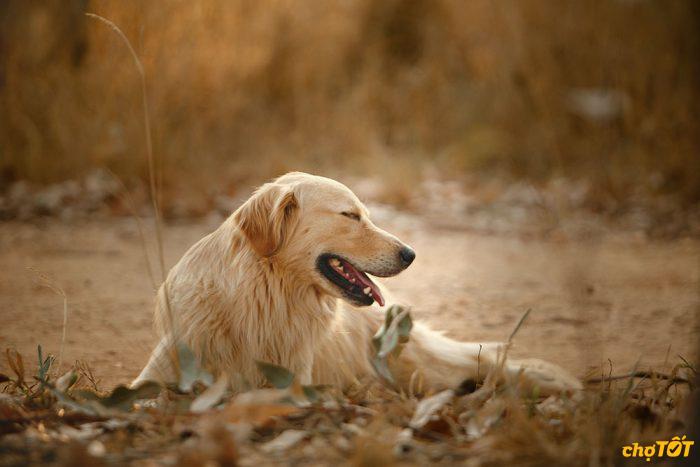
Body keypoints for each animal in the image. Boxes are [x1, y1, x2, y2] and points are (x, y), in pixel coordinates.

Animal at [134, 172, 584, 394]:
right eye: (350, 216)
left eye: (364, 213)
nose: (411, 254)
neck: (263, 296)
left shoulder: (292, 382)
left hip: (417, 364)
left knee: (484, 360)